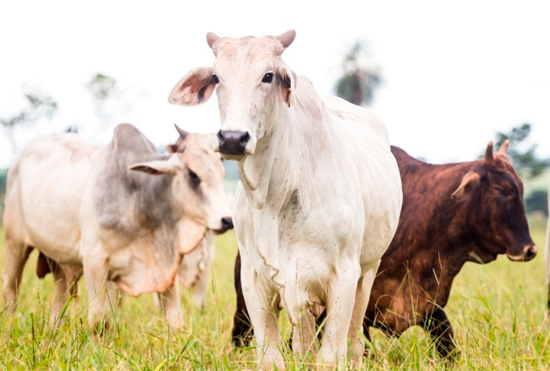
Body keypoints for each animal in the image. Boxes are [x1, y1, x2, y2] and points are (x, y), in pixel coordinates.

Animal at [2, 124, 232, 332]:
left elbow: (176, 322)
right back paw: (10, 327)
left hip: (61, 260)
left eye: (221, 171)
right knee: (11, 288)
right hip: (15, 243)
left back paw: (53, 331)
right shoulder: (94, 261)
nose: (227, 220)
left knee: (60, 295)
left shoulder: (165, 268)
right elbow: (99, 321)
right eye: (193, 174)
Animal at [168, 31, 406, 370]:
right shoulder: (255, 280)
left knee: (354, 342)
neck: (276, 196)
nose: (232, 138)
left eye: (268, 76)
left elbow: (331, 357)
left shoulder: (345, 276)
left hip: (368, 272)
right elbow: (272, 357)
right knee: (303, 344)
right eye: (216, 77)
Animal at [233, 141, 540, 358]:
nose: (529, 250)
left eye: (520, 188)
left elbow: (449, 350)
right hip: (247, 301)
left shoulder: (428, 307)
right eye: (502, 190)